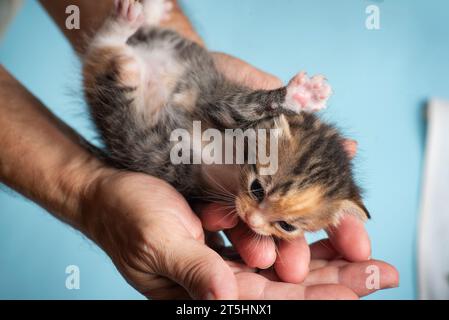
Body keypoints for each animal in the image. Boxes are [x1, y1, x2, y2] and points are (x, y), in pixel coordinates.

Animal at [82, 0, 370, 240]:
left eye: (286, 226)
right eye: (257, 189)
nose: (252, 220)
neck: (238, 158)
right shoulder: (218, 104)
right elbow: (246, 104)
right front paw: (297, 96)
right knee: (107, 47)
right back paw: (132, 23)